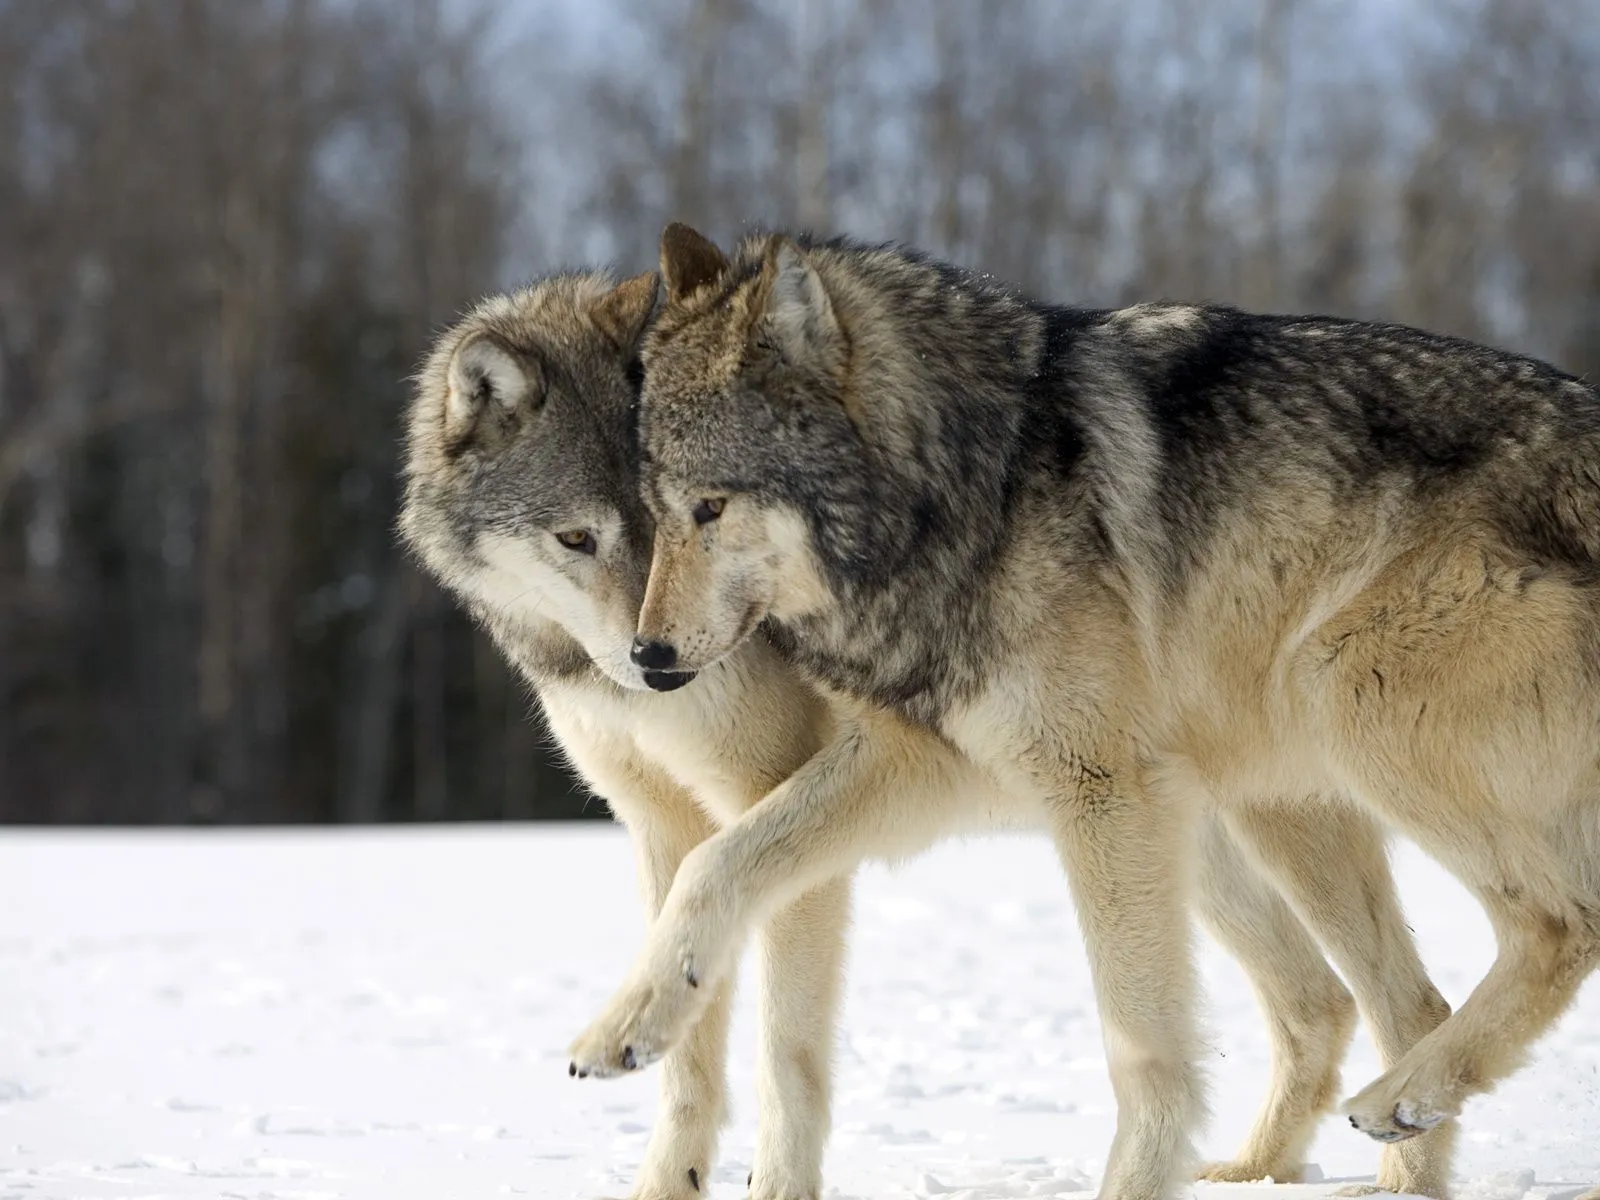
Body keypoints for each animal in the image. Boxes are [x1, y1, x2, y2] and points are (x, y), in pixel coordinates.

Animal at [566, 225, 1600, 1200]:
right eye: (655, 511)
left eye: (711, 507)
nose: (648, 659)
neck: (970, 490)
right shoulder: (925, 763)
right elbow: (715, 861)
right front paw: (628, 1023)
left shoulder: (1101, 791)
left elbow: (1140, 1046)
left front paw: (1134, 1184)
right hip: (1278, 799)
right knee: (1406, 1001)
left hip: (1339, 692)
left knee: (1561, 923)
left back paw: (1399, 1101)